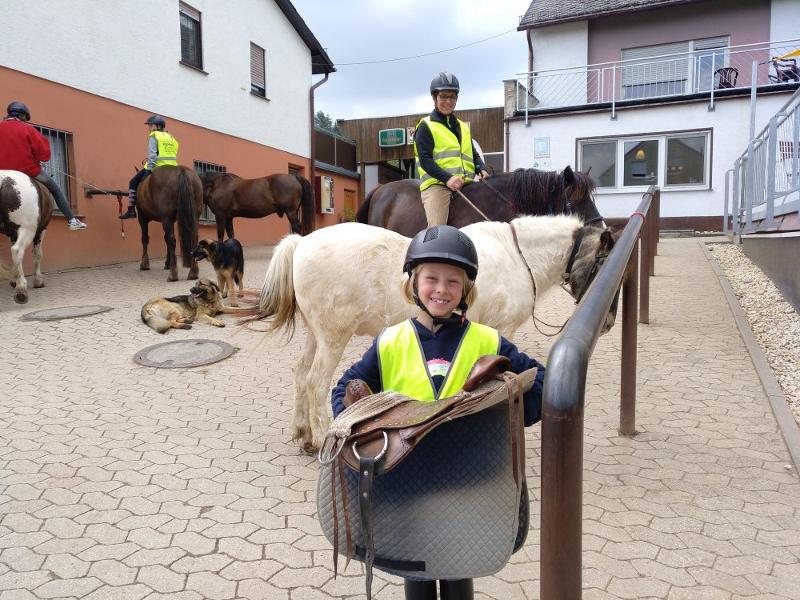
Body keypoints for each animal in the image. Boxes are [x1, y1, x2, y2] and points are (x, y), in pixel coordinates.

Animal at [0, 169, 53, 302]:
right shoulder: (41, 230)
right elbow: (37, 254)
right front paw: (37, 281)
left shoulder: (13, 234)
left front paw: (14, 279)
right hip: (28, 229)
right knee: (17, 250)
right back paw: (21, 289)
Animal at [256, 216, 620, 450]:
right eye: (603, 263)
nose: (607, 323)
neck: (516, 256)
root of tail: (302, 242)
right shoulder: (501, 330)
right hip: (334, 336)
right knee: (316, 381)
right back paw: (318, 438)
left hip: (315, 334)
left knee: (301, 374)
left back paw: (302, 432)